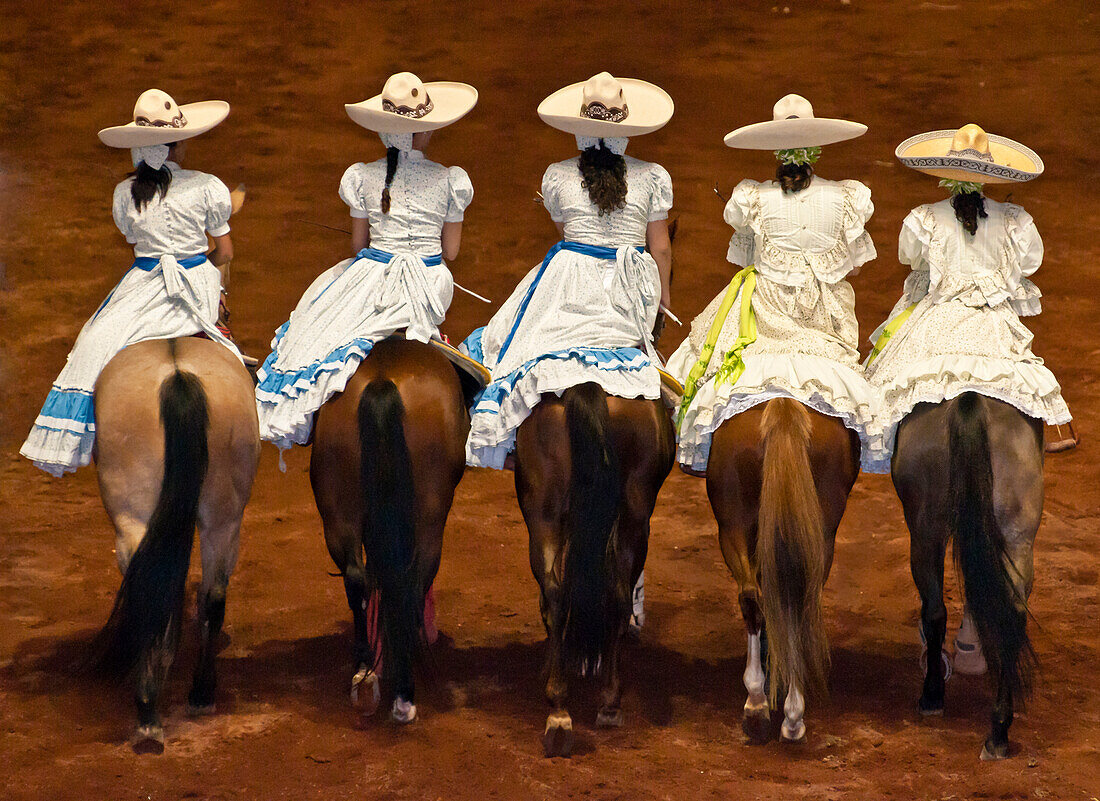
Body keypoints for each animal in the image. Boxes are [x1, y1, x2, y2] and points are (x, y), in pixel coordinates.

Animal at [91, 336, 259, 752]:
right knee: (213, 597)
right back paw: (200, 693)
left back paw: (148, 713)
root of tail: (178, 375)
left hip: (131, 516)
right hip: (224, 518)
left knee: (146, 592)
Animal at [517, 380, 677, 756]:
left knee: (556, 597)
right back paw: (609, 702)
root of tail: (587, 385)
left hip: (543, 514)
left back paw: (559, 712)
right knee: (618, 596)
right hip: (635, 516)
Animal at [704, 400, 858, 743]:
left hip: (732, 525)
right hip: (817, 534)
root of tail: (783, 405)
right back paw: (788, 712)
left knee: (753, 598)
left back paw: (760, 705)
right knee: (793, 601)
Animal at [893, 391, 1038, 761]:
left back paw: (932, 697)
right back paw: (998, 733)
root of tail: (968, 397)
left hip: (924, 531)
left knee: (934, 611)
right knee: (1012, 614)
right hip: (1018, 534)